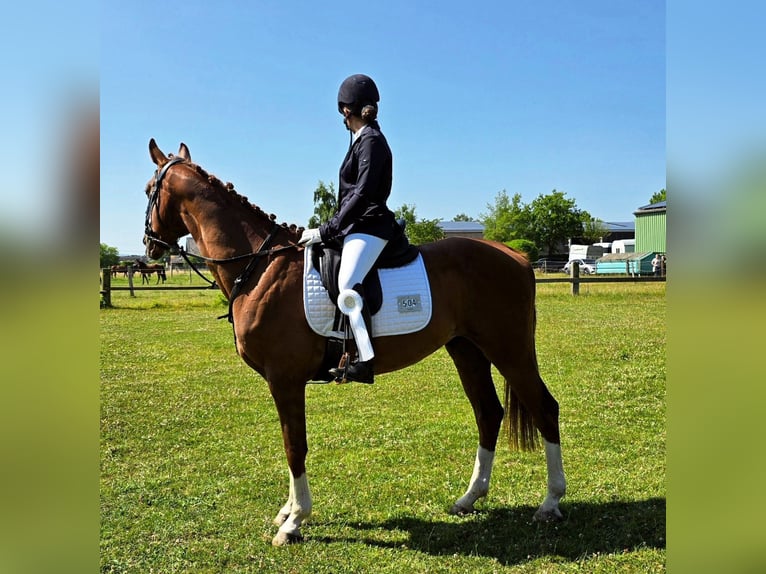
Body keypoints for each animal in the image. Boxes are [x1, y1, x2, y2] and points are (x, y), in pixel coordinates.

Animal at [142, 139, 566, 546]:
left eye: (149, 189)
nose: (149, 247)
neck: (260, 266)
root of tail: (517, 256)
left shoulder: (285, 379)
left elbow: (294, 446)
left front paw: (294, 522)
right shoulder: (284, 381)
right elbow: (291, 444)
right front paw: (288, 512)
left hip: (509, 350)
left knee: (544, 409)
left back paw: (549, 504)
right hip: (467, 350)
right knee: (488, 413)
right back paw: (468, 499)